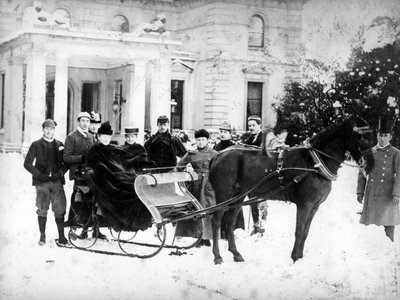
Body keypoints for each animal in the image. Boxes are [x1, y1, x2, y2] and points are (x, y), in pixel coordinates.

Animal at [208, 116, 374, 264]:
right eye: (362, 138)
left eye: (374, 139)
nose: (370, 166)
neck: (314, 163)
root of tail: (218, 155)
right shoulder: (304, 205)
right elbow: (299, 231)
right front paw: (294, 258)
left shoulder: (314, 207)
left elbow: (306, 232)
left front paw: (300, 257)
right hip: (224, 195)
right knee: (216, 220)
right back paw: (217, 256)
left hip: (239, 197)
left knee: (229, 222)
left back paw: (236, 253)